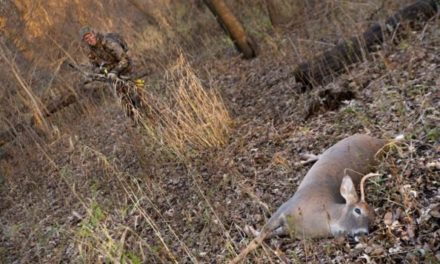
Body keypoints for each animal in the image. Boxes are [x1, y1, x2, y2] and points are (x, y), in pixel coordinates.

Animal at [230, 134, 396, 264]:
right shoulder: (285, 208)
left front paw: (247, 230)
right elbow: (258, 238)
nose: (366, 232)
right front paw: (235, 258)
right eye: (358, 210)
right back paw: (303, 157)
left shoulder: (290, 230)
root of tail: (382, 141)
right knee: (320, 155)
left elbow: (267, 235)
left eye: (373, 219)